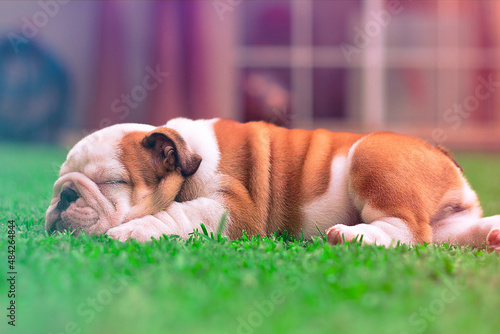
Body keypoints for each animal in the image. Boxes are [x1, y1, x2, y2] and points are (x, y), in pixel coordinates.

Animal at [45, 117, 500, 250]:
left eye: (111, 182)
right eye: (57, 182)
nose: (65, 194)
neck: (186, 154)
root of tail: (440, 153)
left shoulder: (231, 207)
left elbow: (177, 215)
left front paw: (135, 229)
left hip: (373, 156)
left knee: (408, 230)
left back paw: (353, 236)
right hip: (452, 222)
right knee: (452, 233)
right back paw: (492, 234)